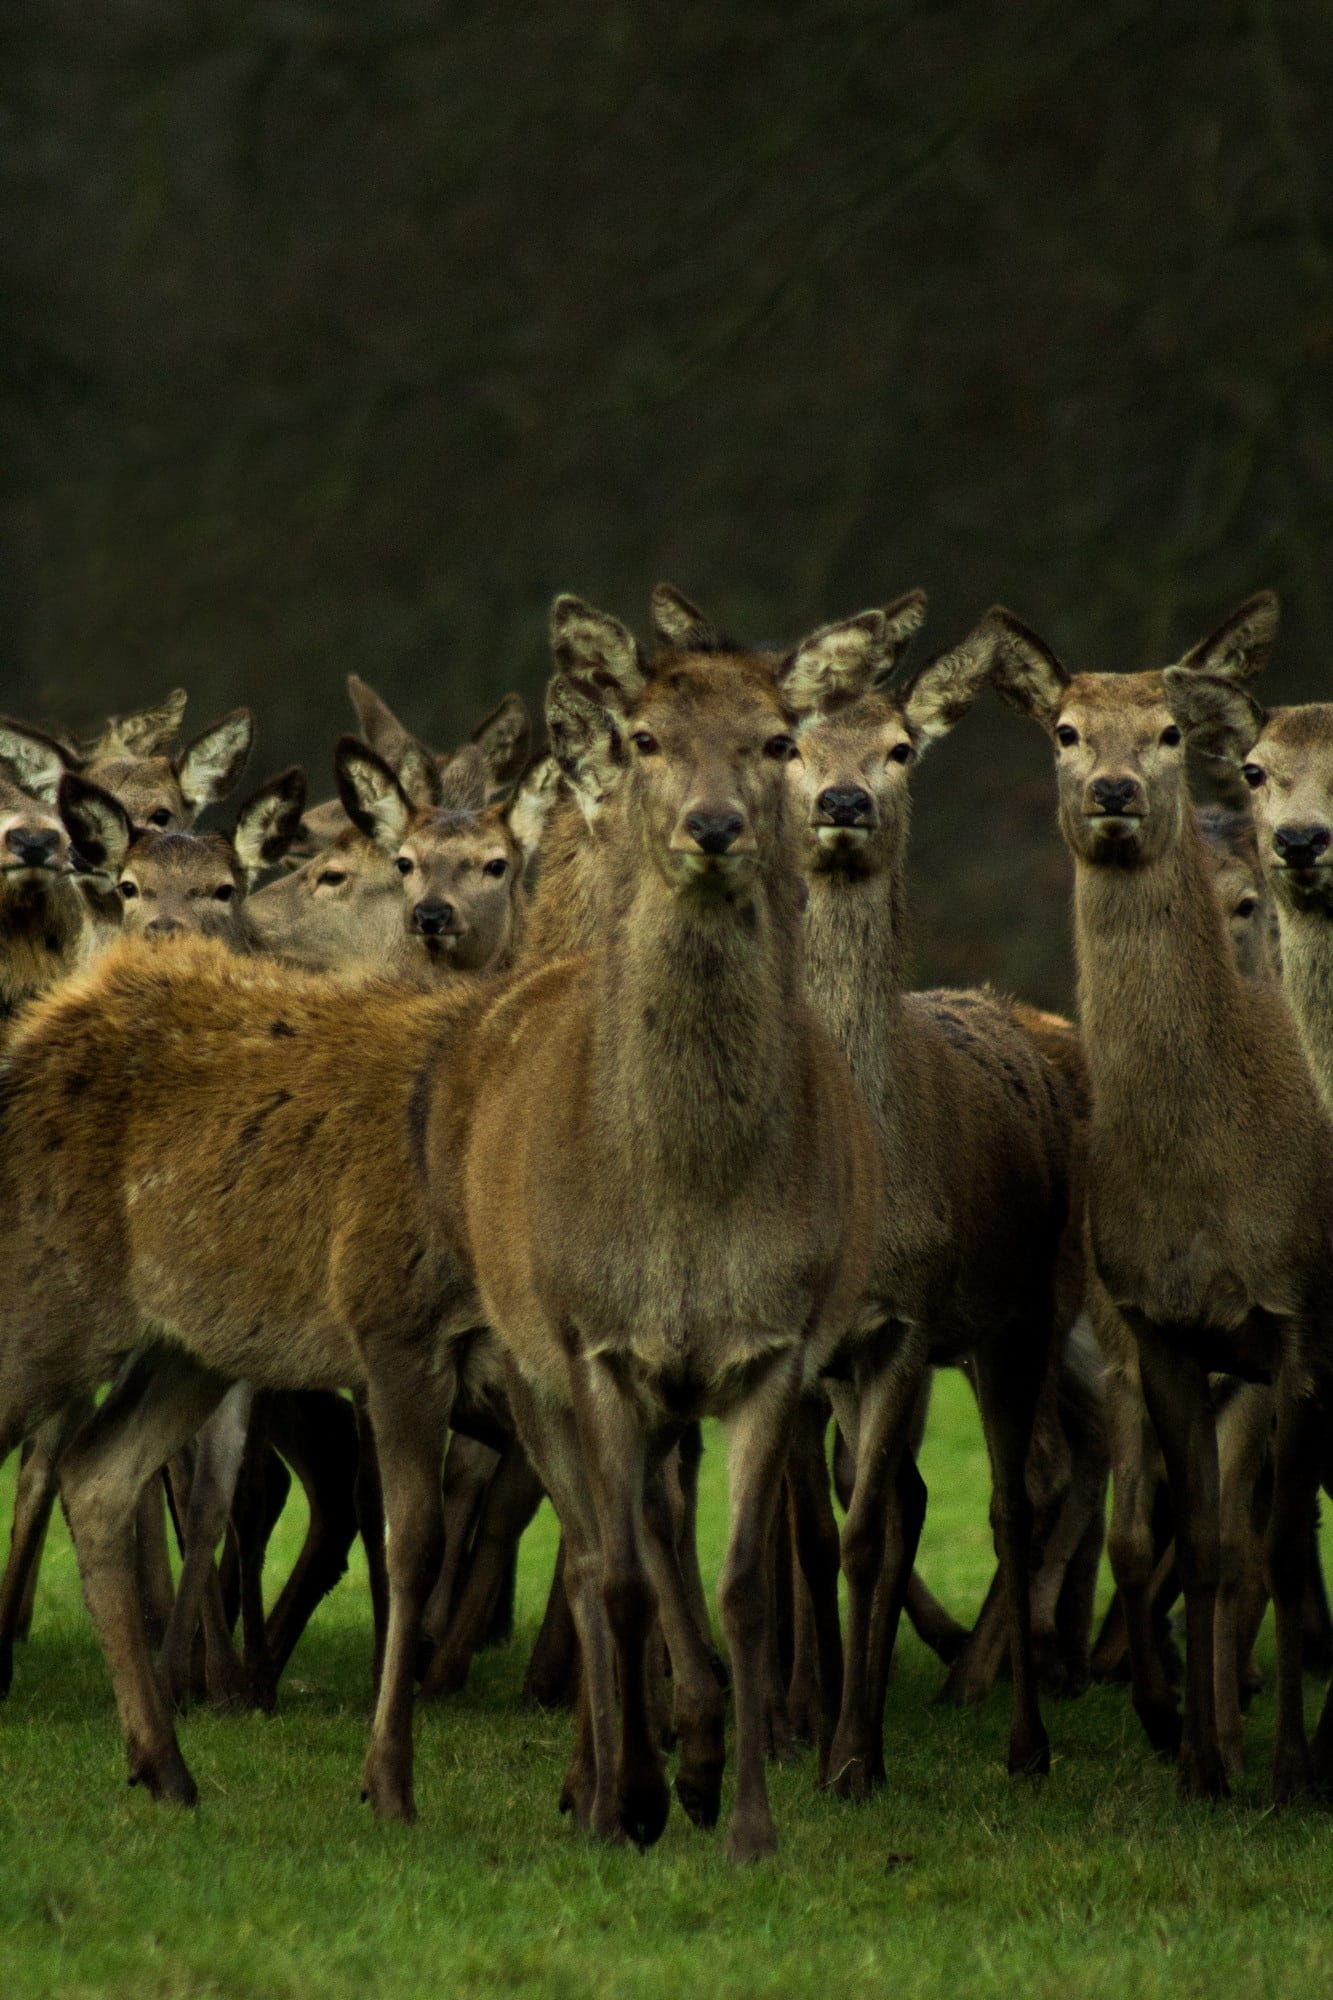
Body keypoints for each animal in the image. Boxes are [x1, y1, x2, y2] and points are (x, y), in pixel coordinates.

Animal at [990, 588, 1333, 1802]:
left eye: (1170, 731)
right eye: (1063, 728)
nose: (1114, 791)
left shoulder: (1292, 1323)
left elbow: (1271, 1550)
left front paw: (1283, 1770)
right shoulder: (1159, 1328)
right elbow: (1197, 1545)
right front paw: (1195, 1756)